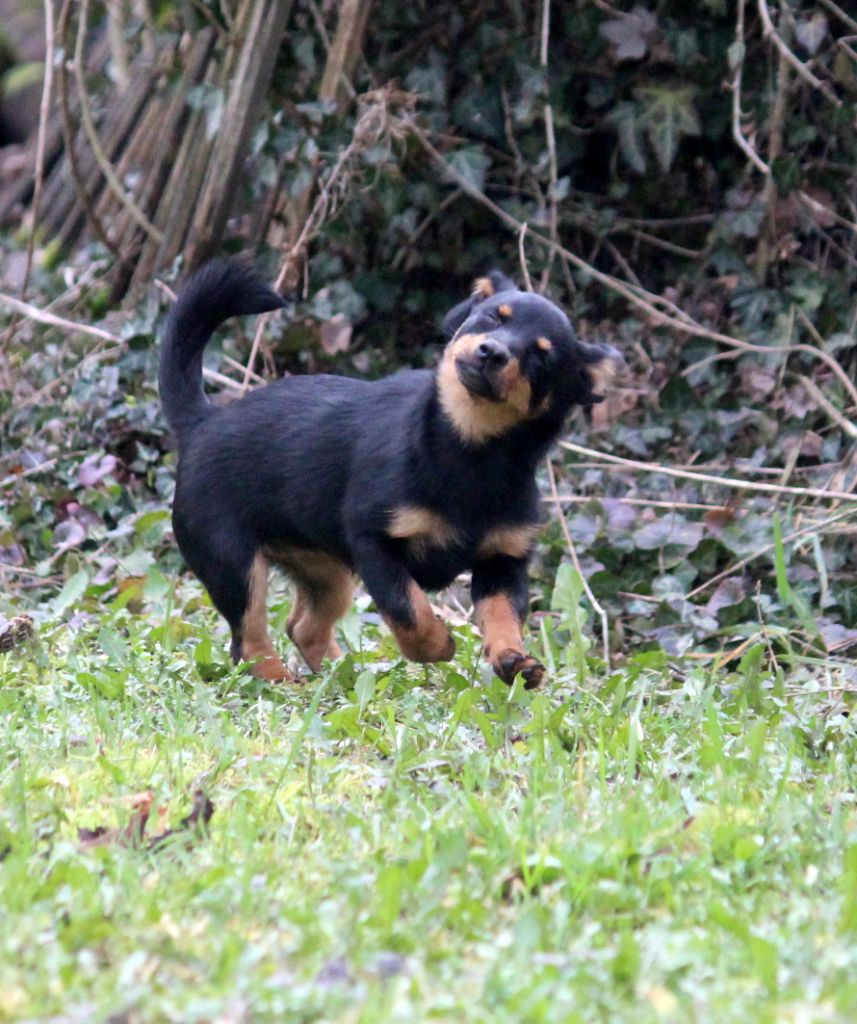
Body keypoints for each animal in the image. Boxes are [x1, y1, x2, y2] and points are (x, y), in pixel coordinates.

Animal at [156, 260, 618, 684]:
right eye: (491, 318)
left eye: (542, 357)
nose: (492, 351)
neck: (473, 448)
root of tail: (203, 422)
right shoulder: (373, 542)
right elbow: (408, 607)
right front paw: (436, 645)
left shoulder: (502, 559)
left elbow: (504, 614)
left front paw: (512, 658)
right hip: (233, 562)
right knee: (248, 641)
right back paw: (283, 685)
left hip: (326, 572)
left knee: (303, 627)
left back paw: (342, 676)